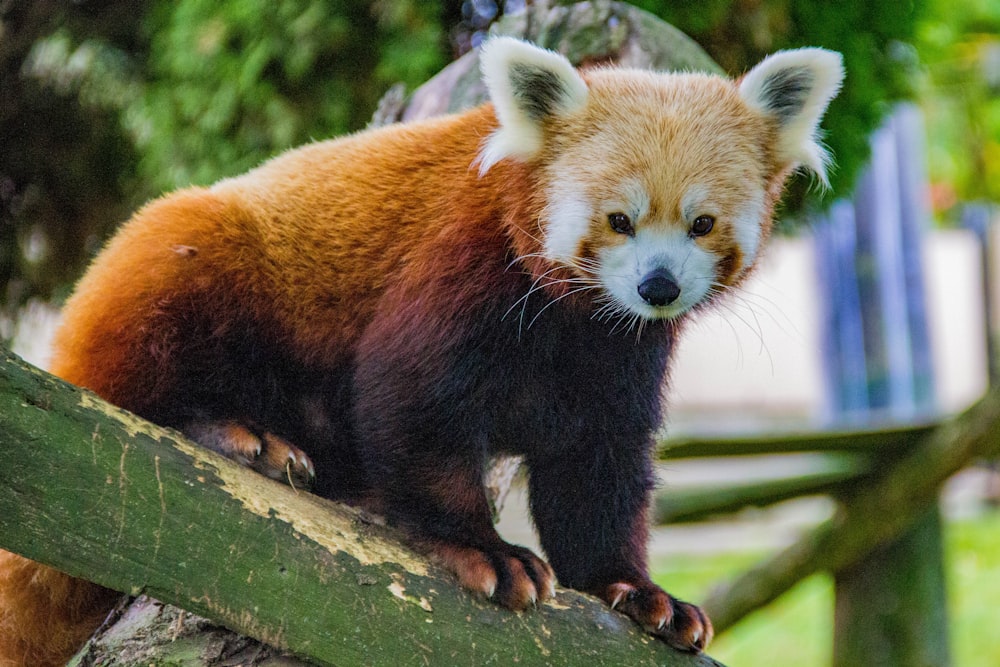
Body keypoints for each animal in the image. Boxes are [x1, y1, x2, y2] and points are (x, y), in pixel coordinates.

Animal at [0, 39, 844, 664]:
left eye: (701, 223)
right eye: (618, 220)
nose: (658, 286)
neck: (573, 319)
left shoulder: (617, 352)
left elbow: (596, 468)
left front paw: (636, 591)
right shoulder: (461, 258)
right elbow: (410, 399)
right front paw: (484, 549)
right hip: (180, 264)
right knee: (152, 362)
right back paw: (239, 434)